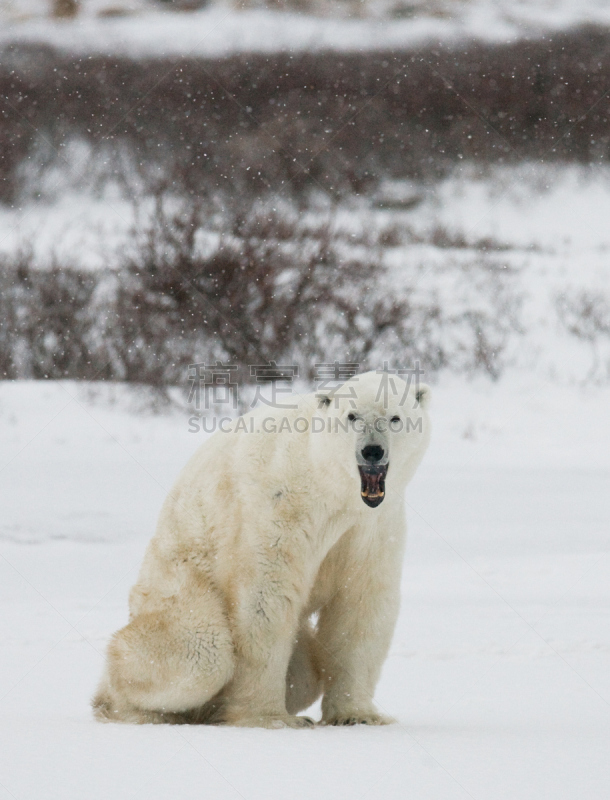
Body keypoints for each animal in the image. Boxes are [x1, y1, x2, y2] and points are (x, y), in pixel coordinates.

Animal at [94, 372, 428, 728]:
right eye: (352, 416)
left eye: (395, 418)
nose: (372, 451)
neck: (332, 486)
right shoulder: (280, 503)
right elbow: (265, 597)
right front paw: (271, 718)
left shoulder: (374, 526)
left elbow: (360, 602)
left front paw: (357, 715)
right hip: (177, 586)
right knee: (200, 653)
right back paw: (135, 709)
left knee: (305, 673)